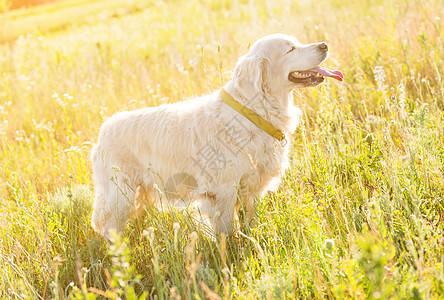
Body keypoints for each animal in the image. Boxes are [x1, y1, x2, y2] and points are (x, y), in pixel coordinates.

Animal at [89, 32, 340, 241]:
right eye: (290, 49)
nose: (325, 45)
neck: (253, 112)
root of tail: (103, 131)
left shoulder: (250, 190)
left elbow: (250, 221)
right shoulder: (223, 190)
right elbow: (226, 230)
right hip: (121, 195)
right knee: (108, 226)